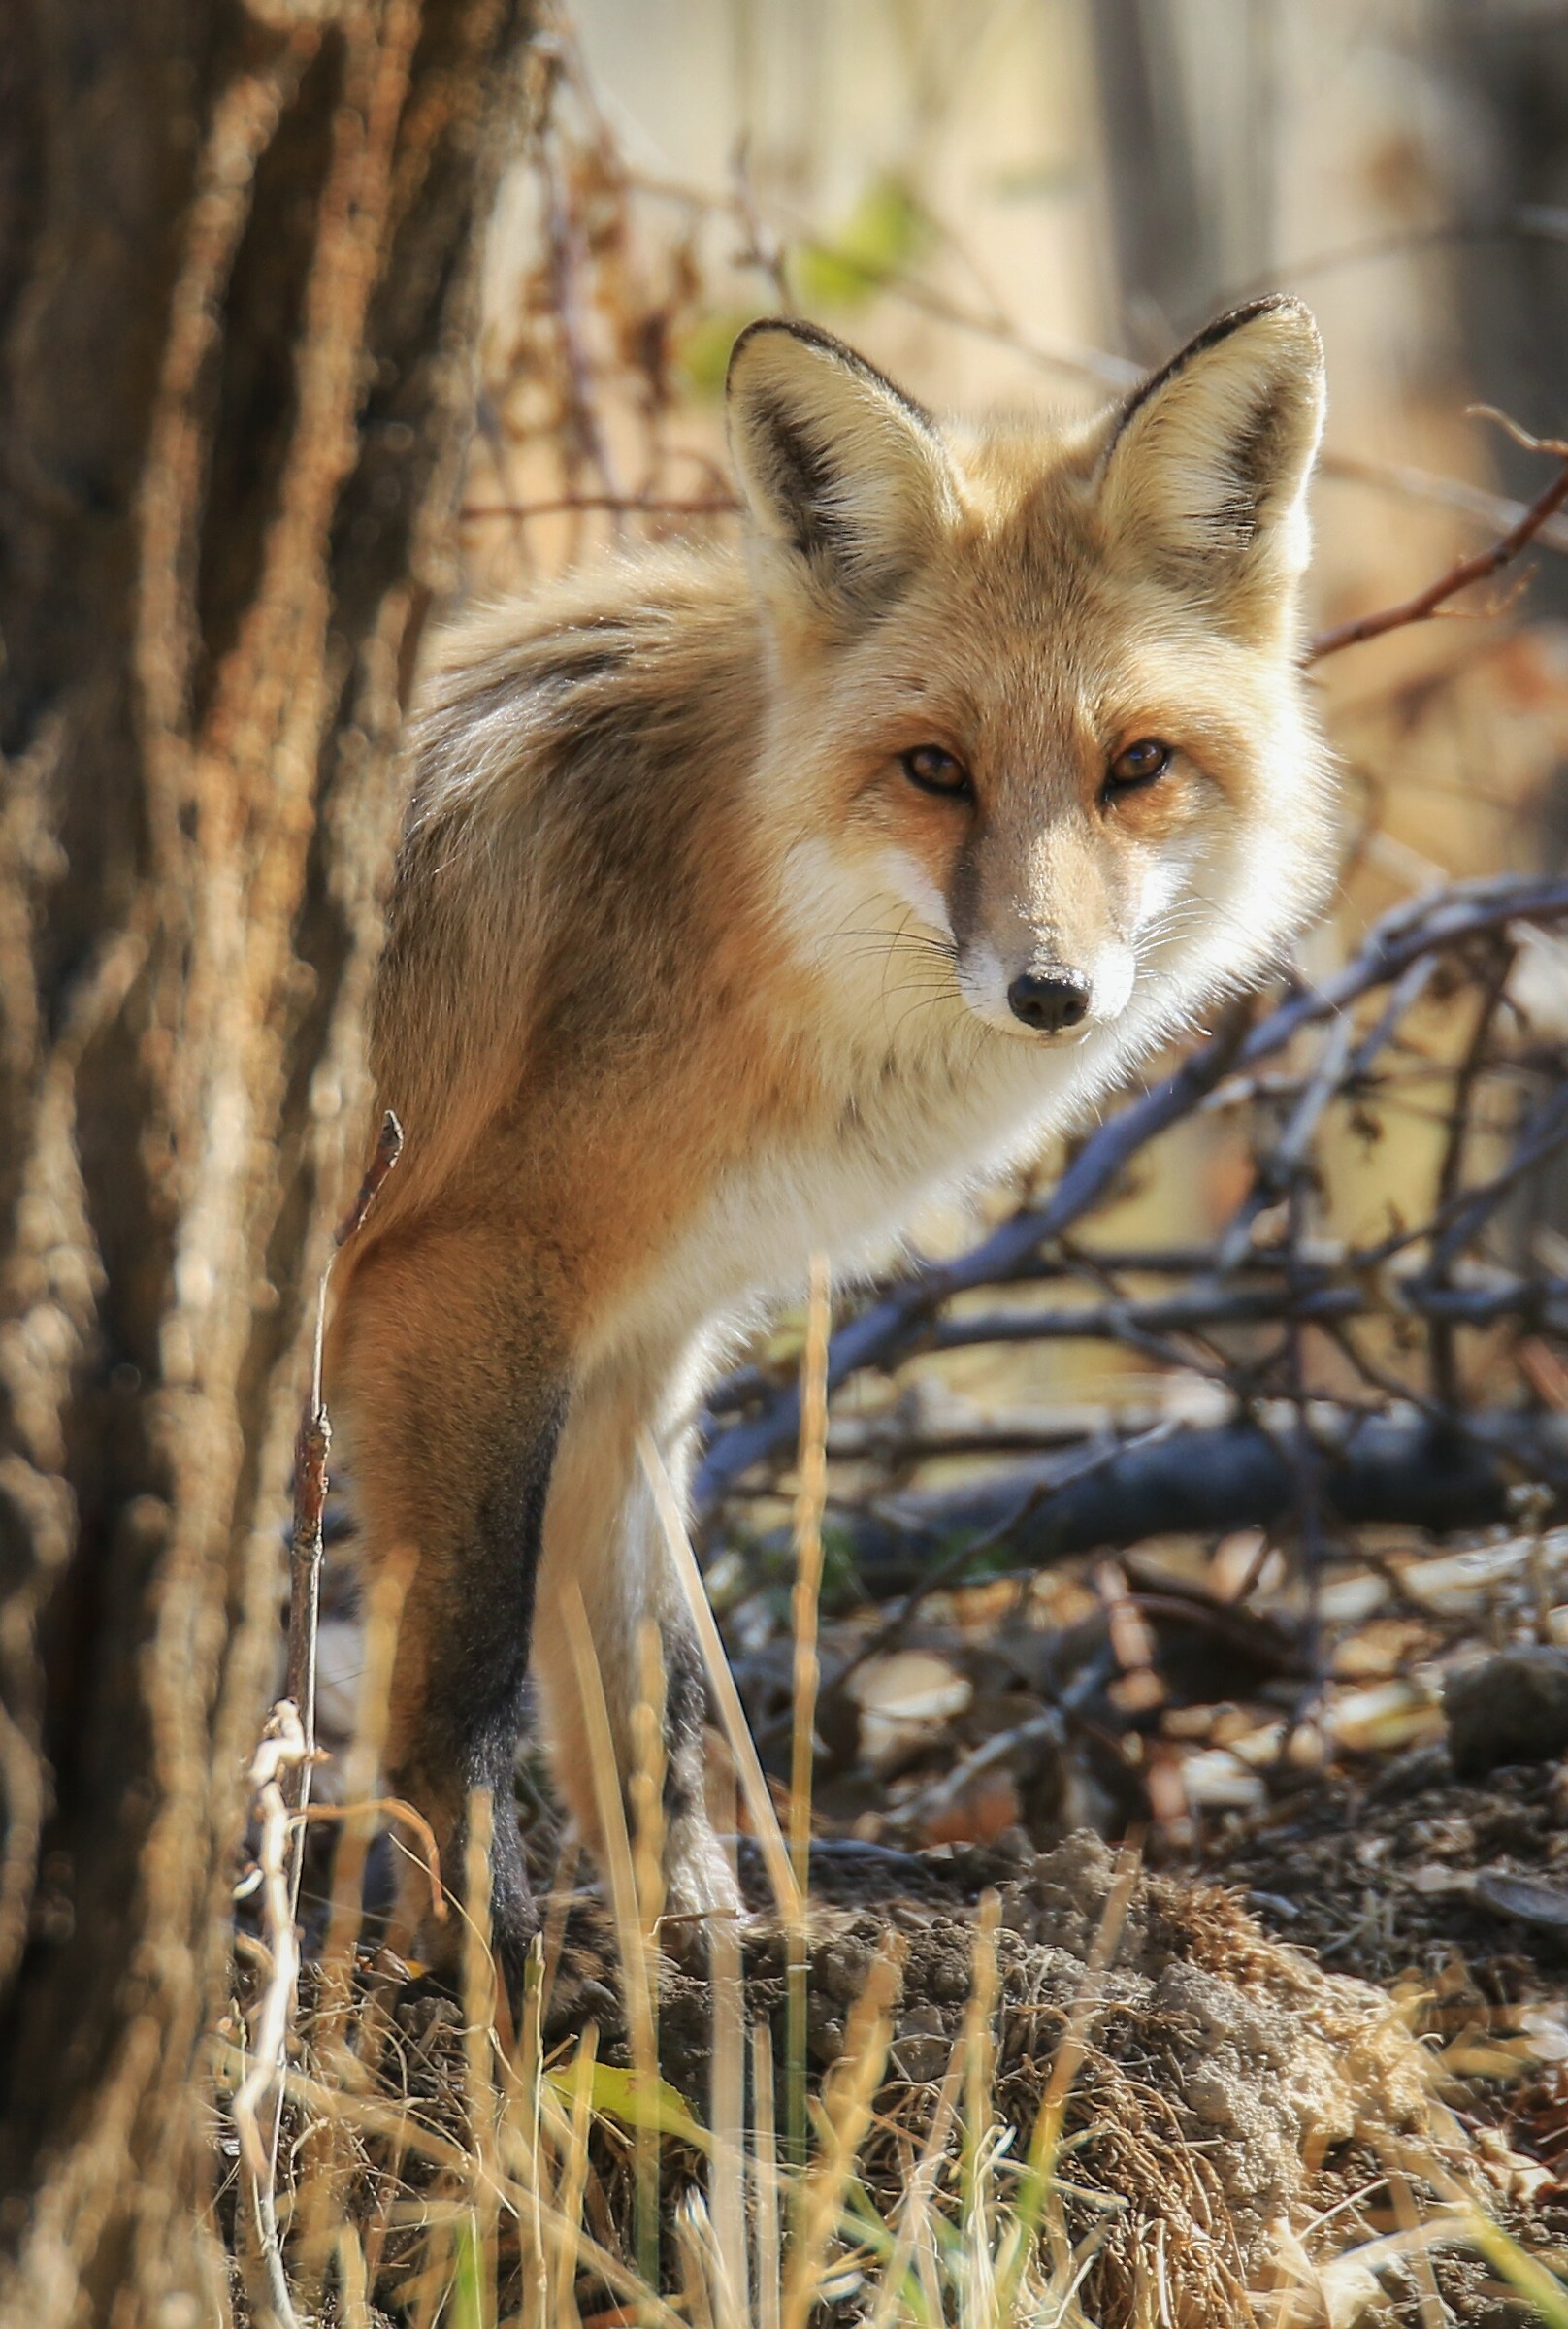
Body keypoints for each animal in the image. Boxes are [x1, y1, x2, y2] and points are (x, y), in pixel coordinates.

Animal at [324, 295, 1334, 1986]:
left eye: (1136, 764)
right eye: (936, 768)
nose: (1051, 992)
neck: (721, 911)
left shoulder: (639, 1351)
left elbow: (649, 1694)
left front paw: (705, 1952)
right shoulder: (458, 1298)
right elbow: (464, 1685)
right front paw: (486, 1986)